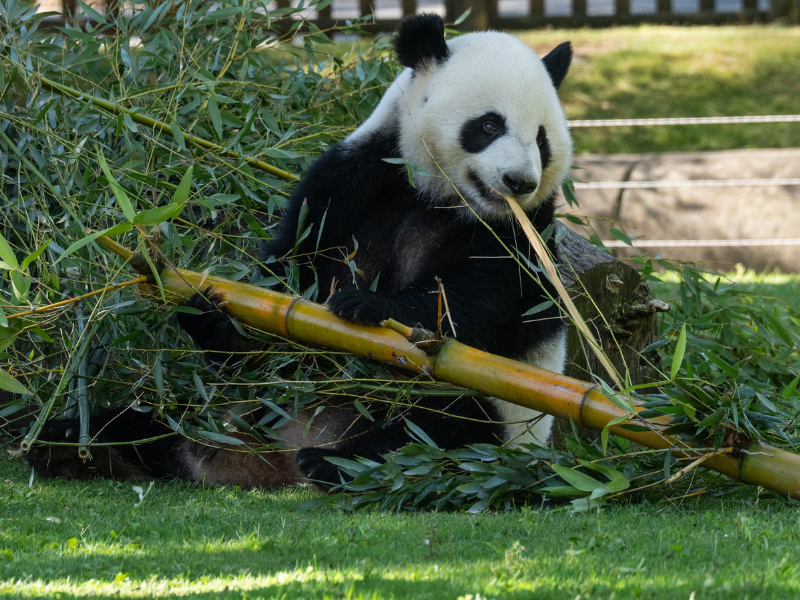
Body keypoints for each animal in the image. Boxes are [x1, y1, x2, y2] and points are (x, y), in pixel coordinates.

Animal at [25, 14, 574, 489]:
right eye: (489, 125)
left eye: (542, 139)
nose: (519, 182)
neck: (442, 197)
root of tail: (268, 458)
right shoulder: (355, 180)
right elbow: (290, 269)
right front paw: (216, 316)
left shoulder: (525, 235)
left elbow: (474, 301)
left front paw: (368, 305)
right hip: (218, 407)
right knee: (151, 421)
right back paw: (70, 442)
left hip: (496, 410)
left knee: (446, 429)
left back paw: (340, 464)